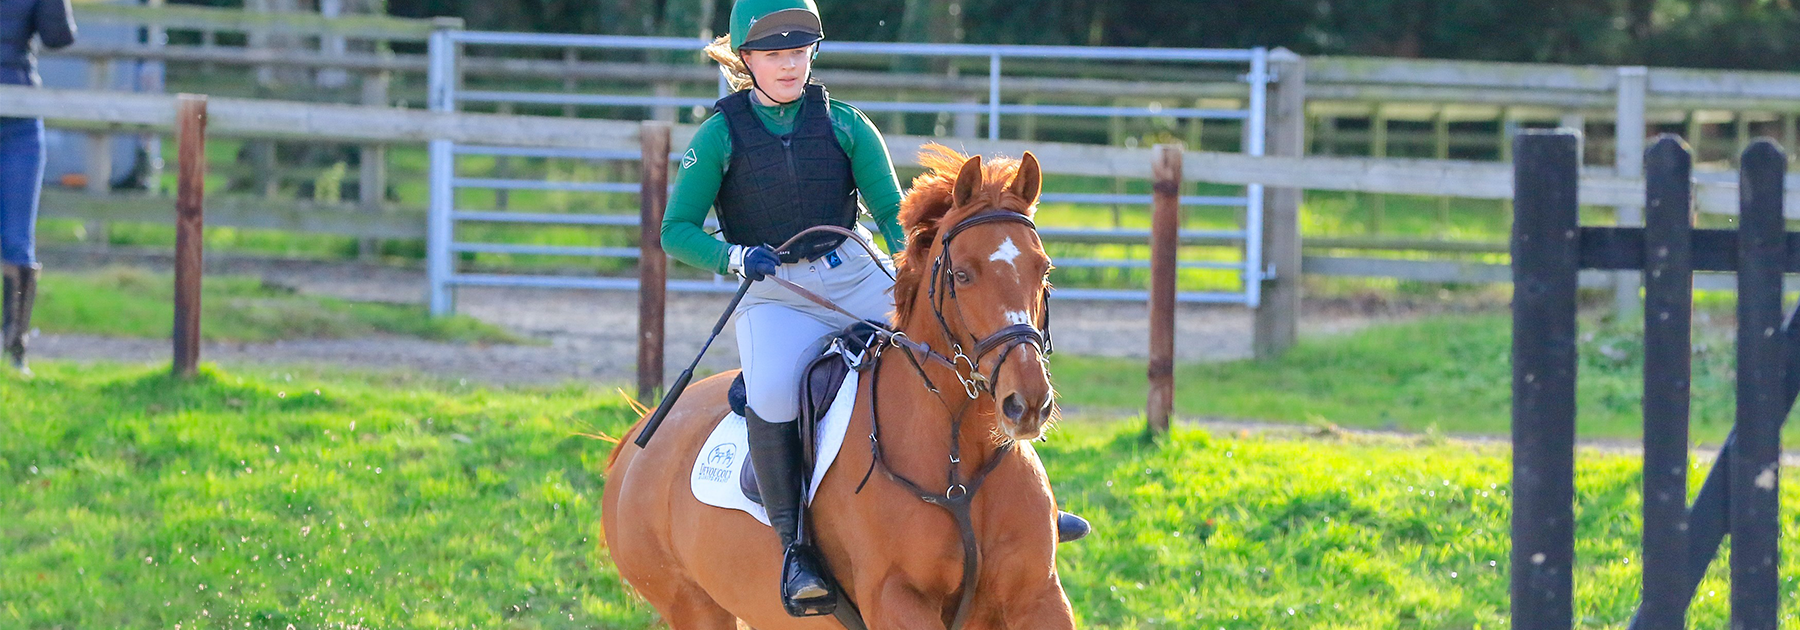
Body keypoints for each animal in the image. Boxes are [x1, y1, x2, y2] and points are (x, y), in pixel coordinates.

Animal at [604, 144, 1072, 626]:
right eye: (961, 274)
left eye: (1043, 269)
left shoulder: (1040, 595)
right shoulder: (895, 597)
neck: (959, 452)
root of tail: (634, 444)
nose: (1027, 402)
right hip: (693, 607)